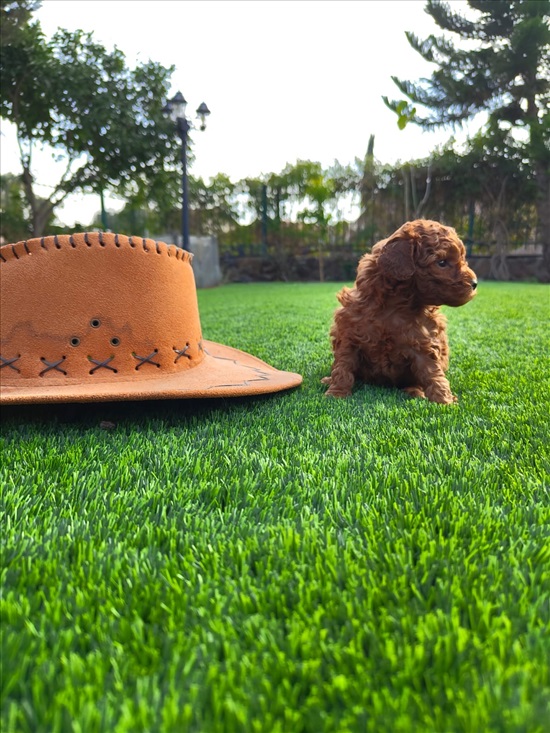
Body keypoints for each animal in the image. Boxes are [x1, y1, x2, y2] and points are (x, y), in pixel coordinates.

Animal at [324, 220, 478, 404]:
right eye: (441, 263)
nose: (475, 283)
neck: (396, 304)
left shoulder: (423, 341)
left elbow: (432, 371)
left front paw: (444, 401)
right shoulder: (349, 333)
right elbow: (343, 365)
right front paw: (336, 393)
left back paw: (415, 391)